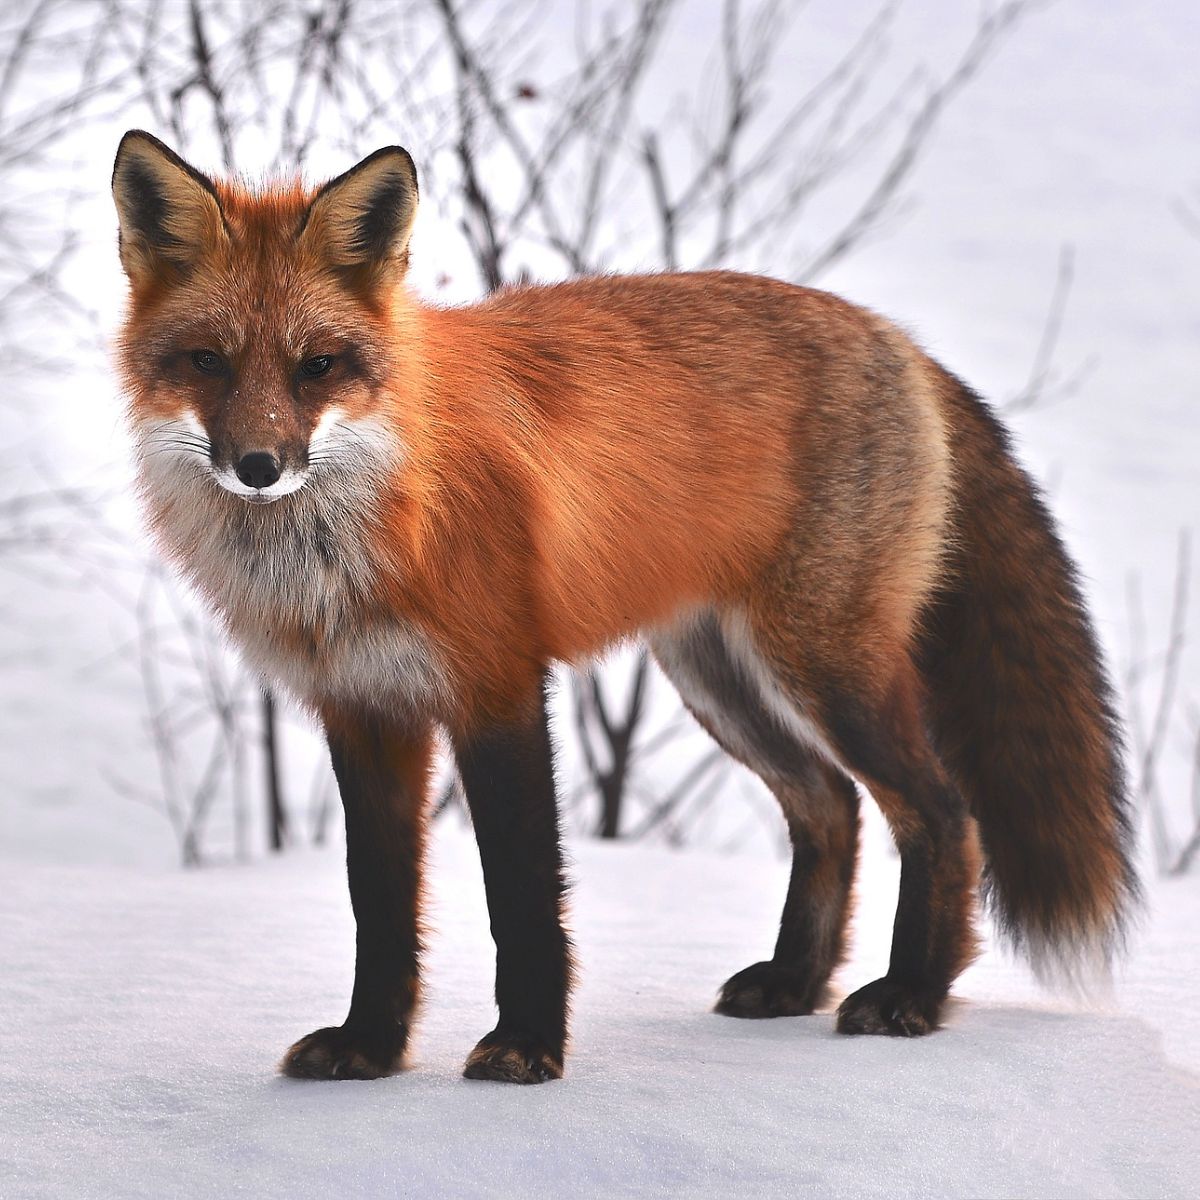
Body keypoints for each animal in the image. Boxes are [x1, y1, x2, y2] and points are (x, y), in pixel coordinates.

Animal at [111, 130, 1138, 1085]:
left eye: (317, 366)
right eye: (207, 361)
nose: (259, 466)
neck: (367, 523)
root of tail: (898, 339)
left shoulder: (498, 687)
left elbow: (522, 896)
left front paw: (527, 1047)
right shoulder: (364, 709)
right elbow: (381, 906)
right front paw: (370, 1047)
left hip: (825, 668)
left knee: (942, 812)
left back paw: (912, 995)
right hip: (719, 679)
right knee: (831, 806)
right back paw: (795, 983)